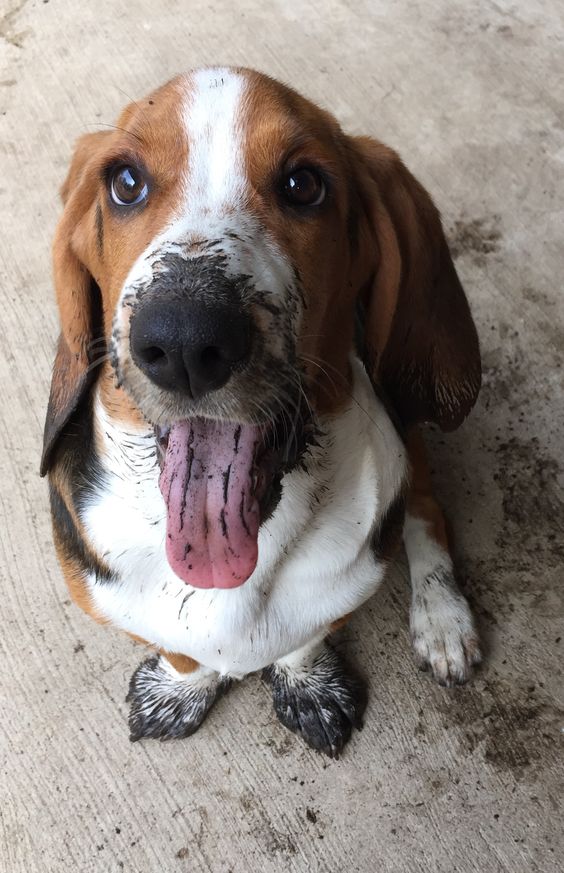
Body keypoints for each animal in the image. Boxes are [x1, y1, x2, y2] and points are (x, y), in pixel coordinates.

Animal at [40, 68, 480, 752]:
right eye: (126, 182)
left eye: (304, 185)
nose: (185, 340)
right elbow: (183, 654)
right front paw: (183, 689)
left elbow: (305, 637)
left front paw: (307, 685)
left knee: (426, 506)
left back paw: (442, 616)